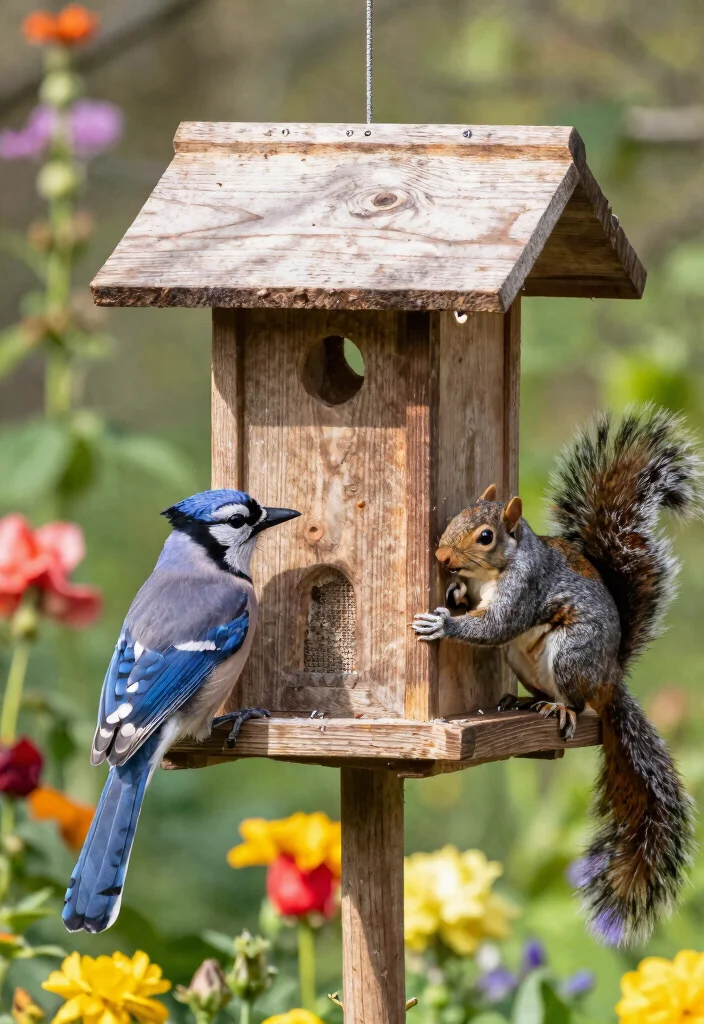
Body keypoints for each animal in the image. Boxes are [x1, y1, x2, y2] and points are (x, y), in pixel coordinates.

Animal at [413, 405, 700, 947]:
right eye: (456, 517)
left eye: (486, 537)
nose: (441, 558)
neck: (498, 568)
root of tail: (609, 677)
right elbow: (475, 605)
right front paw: (455, 593)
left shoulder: (524, 589)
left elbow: (495, 625)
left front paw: (443, 622)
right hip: (521, 663)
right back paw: (522, 703)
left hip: (570, 656)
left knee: (577, 701)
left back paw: (560, 708)